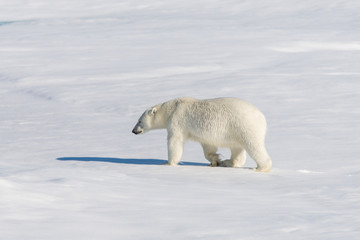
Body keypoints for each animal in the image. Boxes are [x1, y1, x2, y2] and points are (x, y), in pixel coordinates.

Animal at [133, 97, 272, 172]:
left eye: (139, 121)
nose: (133, 130)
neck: (171, 108)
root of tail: (262, 117)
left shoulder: (177, 120)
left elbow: (175, 141)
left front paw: (167, 163)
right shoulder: (205, 135)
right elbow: (208, 146)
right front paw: (215, 160)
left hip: (244, 126)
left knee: (253, 146)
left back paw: (260, 168)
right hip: (235, 130)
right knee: (237, 147)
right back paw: (228, 162)